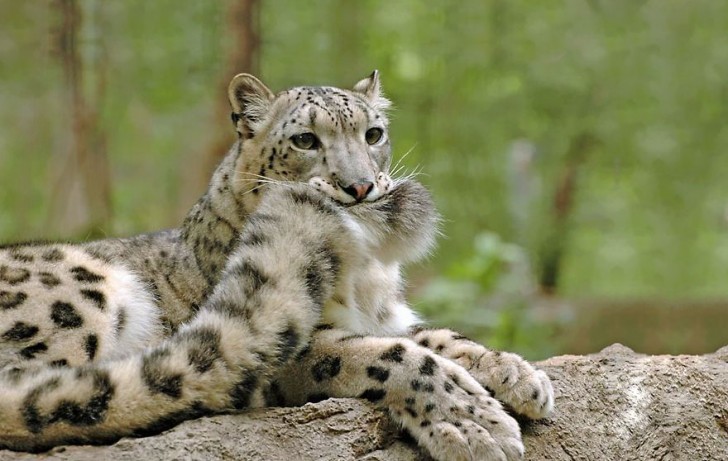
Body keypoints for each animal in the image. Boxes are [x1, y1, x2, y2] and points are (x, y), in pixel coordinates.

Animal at [0, 72, 553, 461]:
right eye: (306, 140)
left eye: (373, 134)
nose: (359, 186)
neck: (366, 275)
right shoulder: (306, 348)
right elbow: (389, 354)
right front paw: (474, 424)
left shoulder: (389, 316)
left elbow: (436, 336)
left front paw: (517, 373)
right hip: (80, 295)